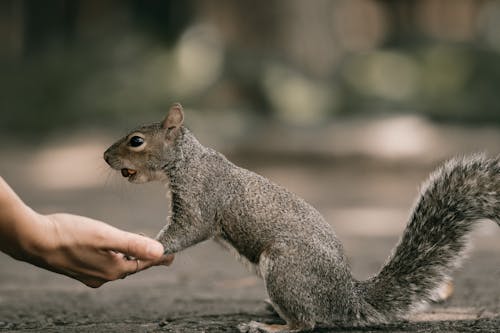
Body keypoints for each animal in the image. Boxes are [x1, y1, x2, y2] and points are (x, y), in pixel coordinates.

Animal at [103, 102, 498, 330]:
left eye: (136, 141)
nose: (105, 157)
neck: (187, 160)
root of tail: (347, 298)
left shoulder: (201, 199)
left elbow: (188, 229)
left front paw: (148, 247)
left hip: (285, 267)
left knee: (305, 324)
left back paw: (267, 327)